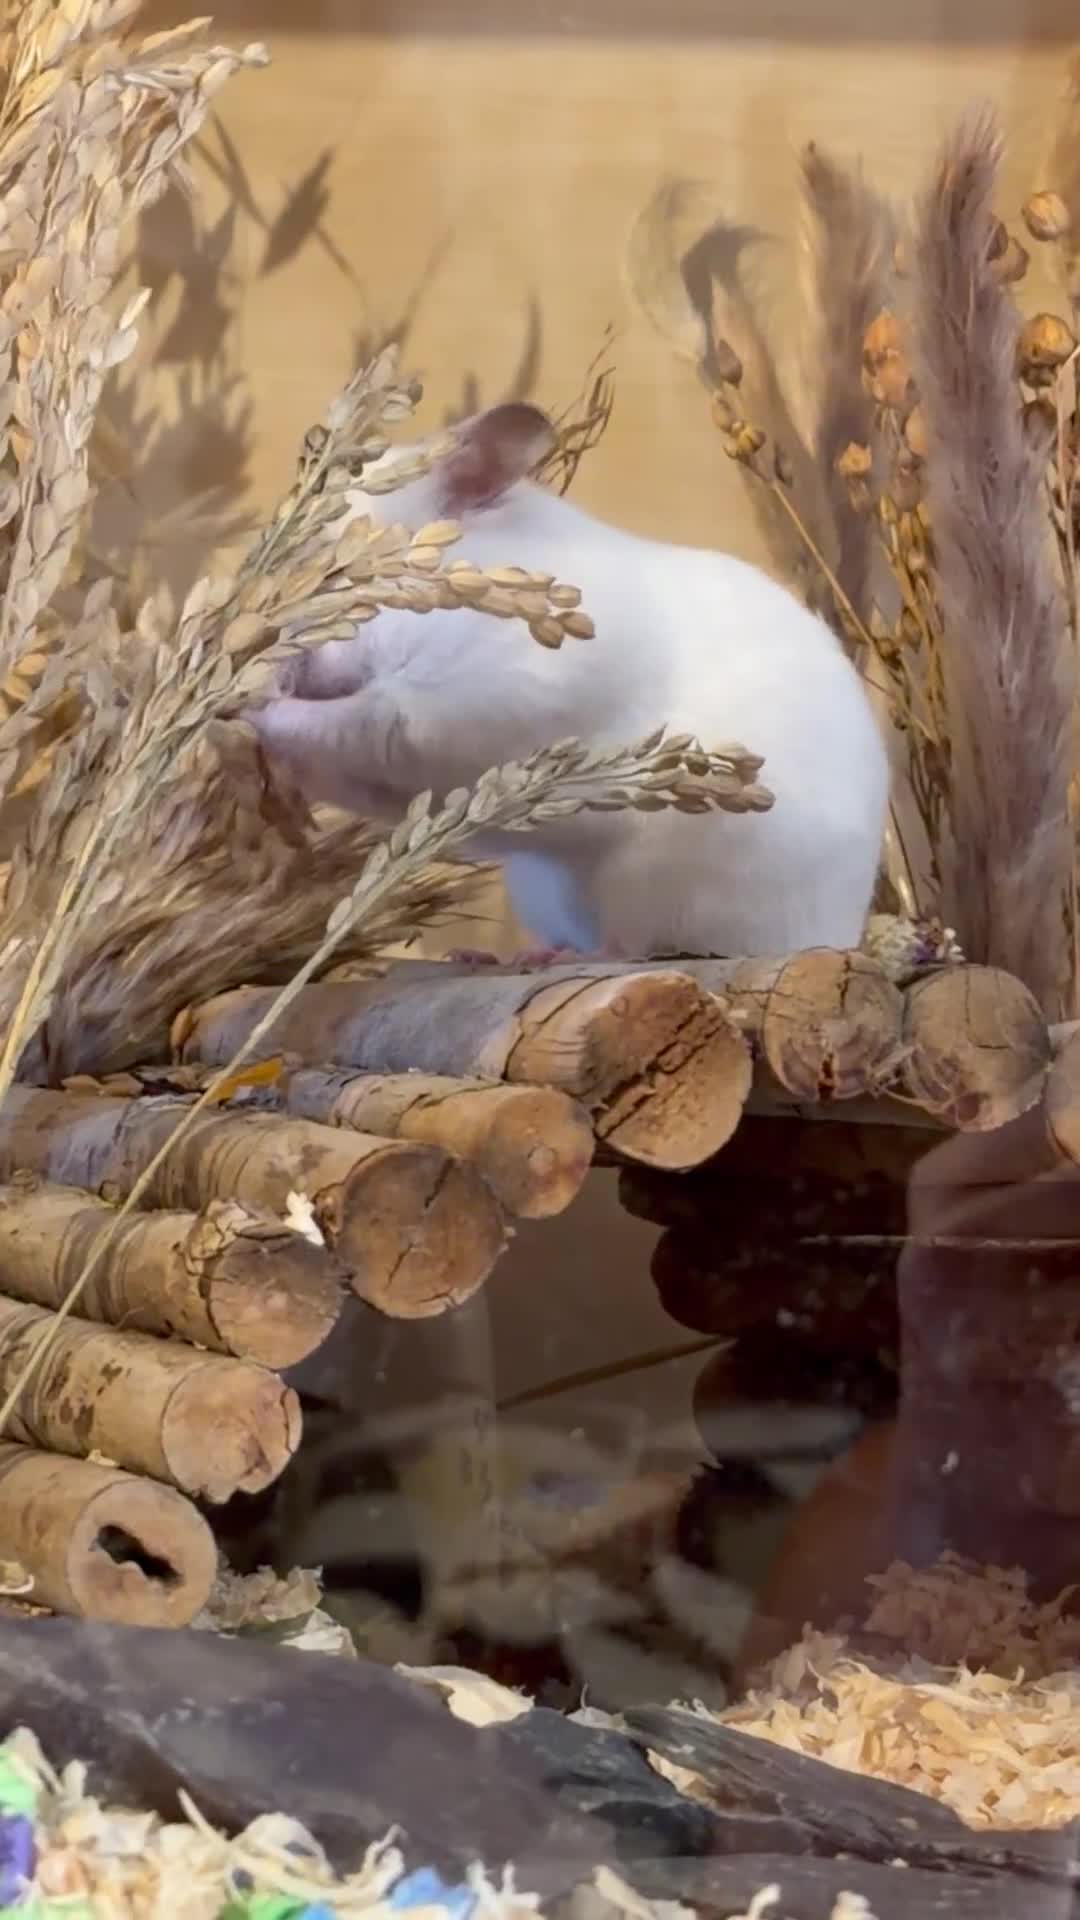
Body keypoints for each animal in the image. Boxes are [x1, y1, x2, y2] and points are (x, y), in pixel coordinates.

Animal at [251, 401, 890, 959]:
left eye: (333, 569)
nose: (258, 641)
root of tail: (837, 935)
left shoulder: (458, 716)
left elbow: (358, 723)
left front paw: (258, 701)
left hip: (662, 887)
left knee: (634, 948)